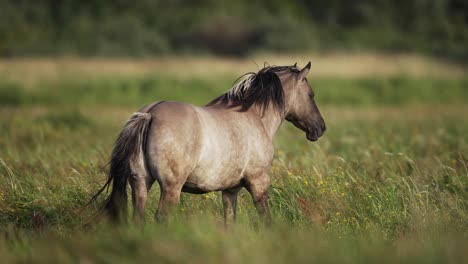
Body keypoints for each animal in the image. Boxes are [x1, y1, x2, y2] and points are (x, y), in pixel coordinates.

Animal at [91, 62, 326, 225]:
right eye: (311, 95)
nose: (320, 128)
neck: (255, 117)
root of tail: (150, 113)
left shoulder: (230, 190)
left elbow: (229, 221)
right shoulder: (259, 182)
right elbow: (265, 218)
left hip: (140, 181)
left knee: (138, 217)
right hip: (171, 187)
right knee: (161, 217)